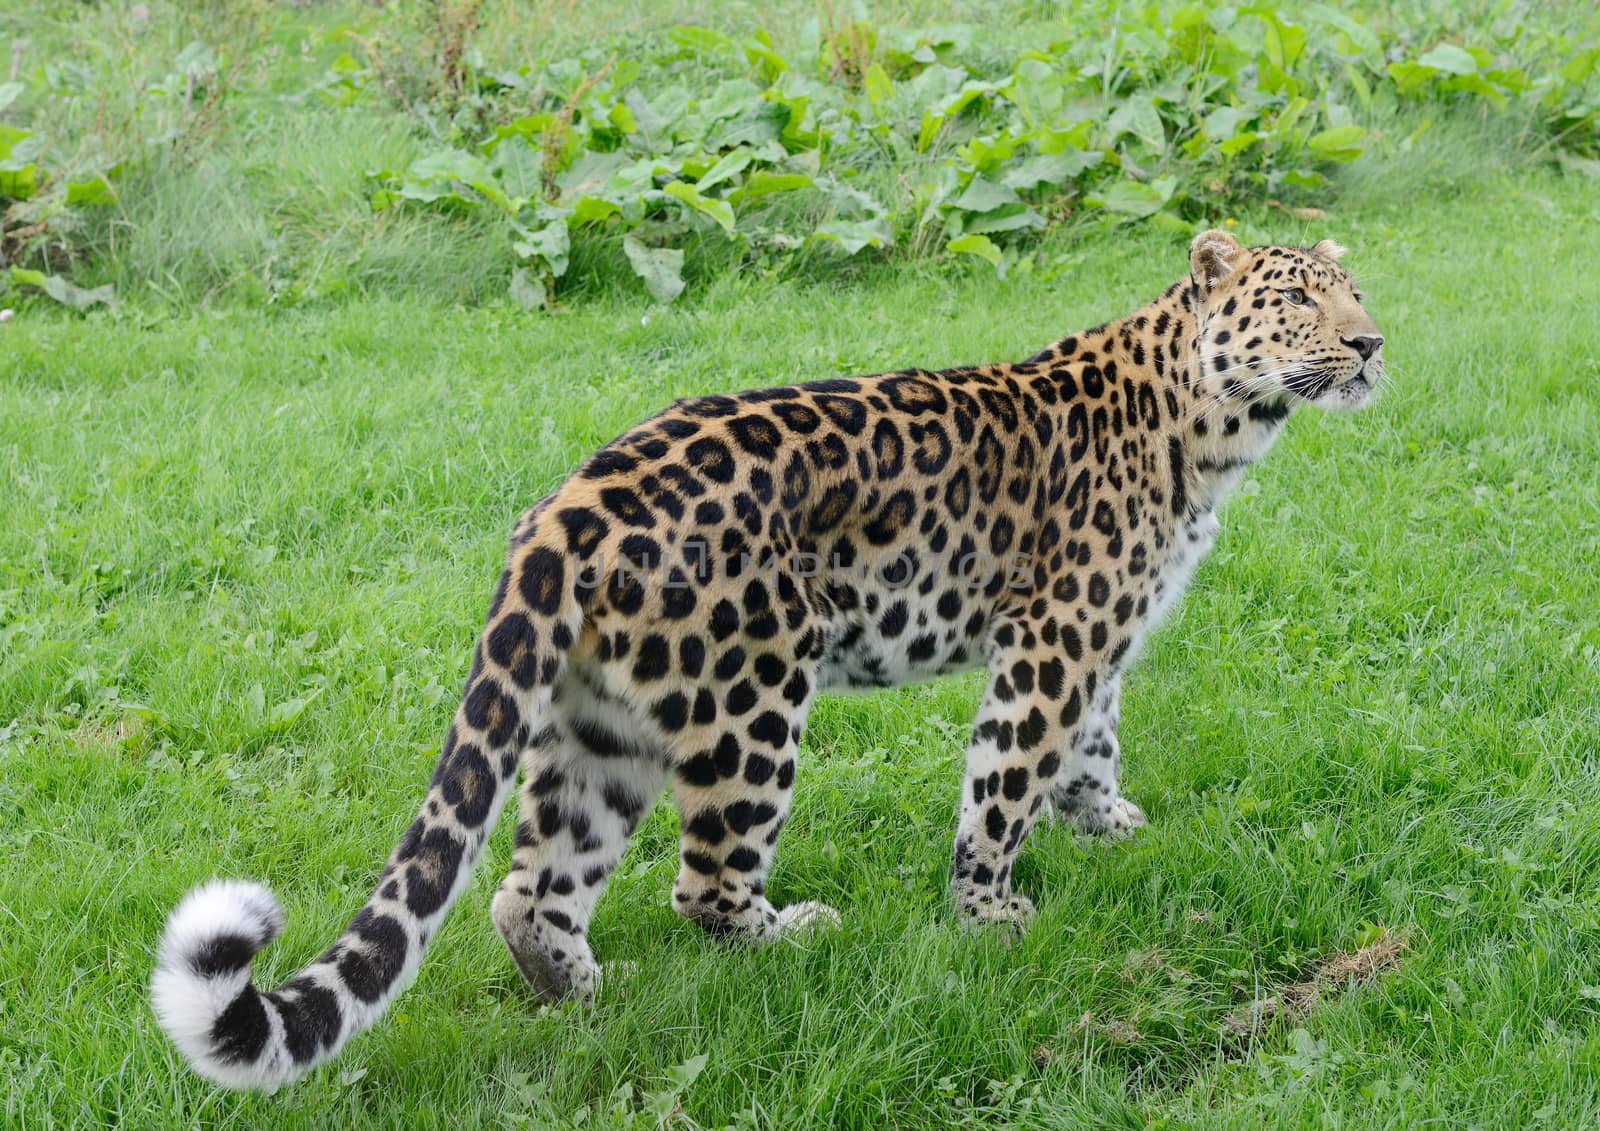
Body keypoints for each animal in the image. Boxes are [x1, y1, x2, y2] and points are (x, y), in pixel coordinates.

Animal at [152, 227, 1388, 1087]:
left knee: (528, 885)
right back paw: (791, 938)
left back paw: (588, 996)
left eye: (1356, 291)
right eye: (1294, 300)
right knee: (701, 880)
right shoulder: (1054, 637)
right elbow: (1005, 779)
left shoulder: (1100, 642)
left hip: (601, 725)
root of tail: (567, 504)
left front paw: (1111, 827)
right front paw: (986, 913)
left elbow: (1089, 750)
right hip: (754, 698)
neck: (1215, 428)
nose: (1372, 344)